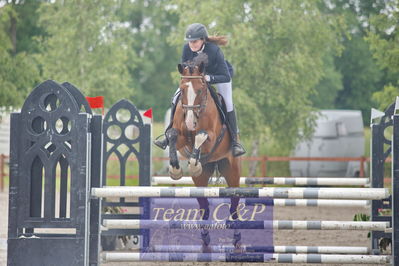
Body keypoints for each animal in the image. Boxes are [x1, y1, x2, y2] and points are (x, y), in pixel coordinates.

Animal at [165, 55, 241, 248]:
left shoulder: (212, 138)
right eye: (183, 90)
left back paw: (237, 237)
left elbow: (201, 136)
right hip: (200, 180)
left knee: (234, 202)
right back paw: (205, 237)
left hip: (232, 170)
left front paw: (193, 164)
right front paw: (175, 170)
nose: (190, 123)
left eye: (200, 90)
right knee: (203, 205)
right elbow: (172, 135)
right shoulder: (181, 138)